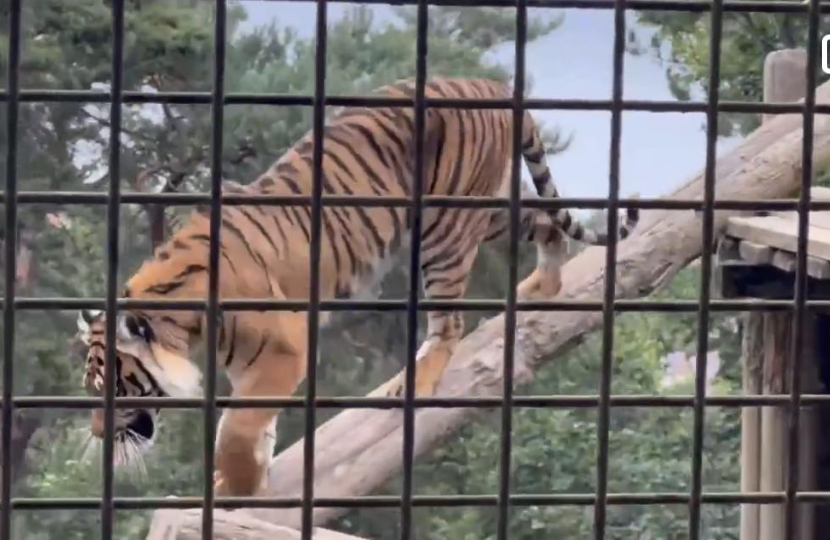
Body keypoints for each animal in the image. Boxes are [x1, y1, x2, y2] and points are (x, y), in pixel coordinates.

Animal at [75, 76, 639, 497]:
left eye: (116, 386)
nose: (98, 434)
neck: (182, 319)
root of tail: (490, 82)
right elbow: (257, 427)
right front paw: (250, 479)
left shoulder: (283, 349)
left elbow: (237, 428)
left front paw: (236, 487)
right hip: (489, 210)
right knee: (546, 226)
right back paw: (543, 284)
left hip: (445, 228)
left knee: (450, 322)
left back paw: (413, 380)